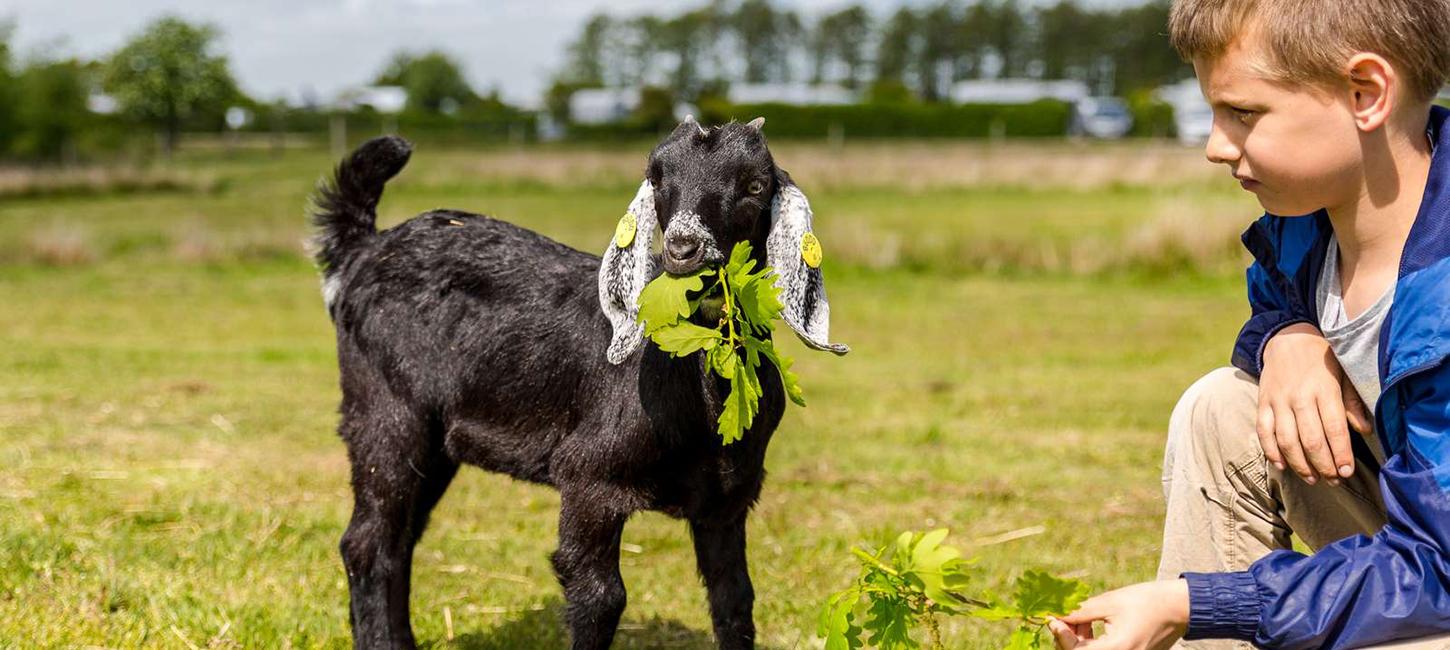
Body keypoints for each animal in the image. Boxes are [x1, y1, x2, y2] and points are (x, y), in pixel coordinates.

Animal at [311, 118, 846, 650]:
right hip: (386, 413)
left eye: (755, 185)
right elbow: (600, 596)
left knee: (399, 538)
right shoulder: (590, 479)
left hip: (436, 444)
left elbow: (735, 600)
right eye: (657, 180)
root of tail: (362, 252)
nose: (682, 248)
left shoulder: (727, 500)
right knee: (368, 541)